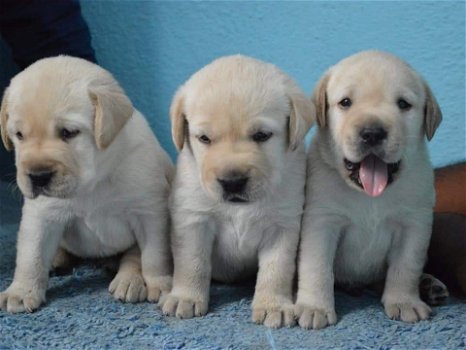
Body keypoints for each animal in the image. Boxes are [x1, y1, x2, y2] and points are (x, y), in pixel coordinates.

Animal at [0, 56, 174, 314]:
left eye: (68, 132)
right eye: (19, 135)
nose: (38, 176)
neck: (92, 182)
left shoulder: (150, 212)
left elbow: (154, 255)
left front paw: (160, 284)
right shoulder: (41, 215)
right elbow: (31, 256)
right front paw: (21, 291)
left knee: (133, 256)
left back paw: (129, 280)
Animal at [158, 54, 314, 328]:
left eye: (262, 135)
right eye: (204, 138)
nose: (232, 182)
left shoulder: (282, 225)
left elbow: (276, 270)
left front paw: (273, 305)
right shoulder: (193, 219)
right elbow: (192, 262)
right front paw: (185, 297)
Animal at [296, 50, 442, 330]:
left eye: (403, 104)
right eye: (345, 102)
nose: (372, 132)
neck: (370, 196)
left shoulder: (414, 224)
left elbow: (406, 266)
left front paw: (404, 301)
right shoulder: (321, 222)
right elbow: (317, 267)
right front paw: (314, 307)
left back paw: (429, 285)